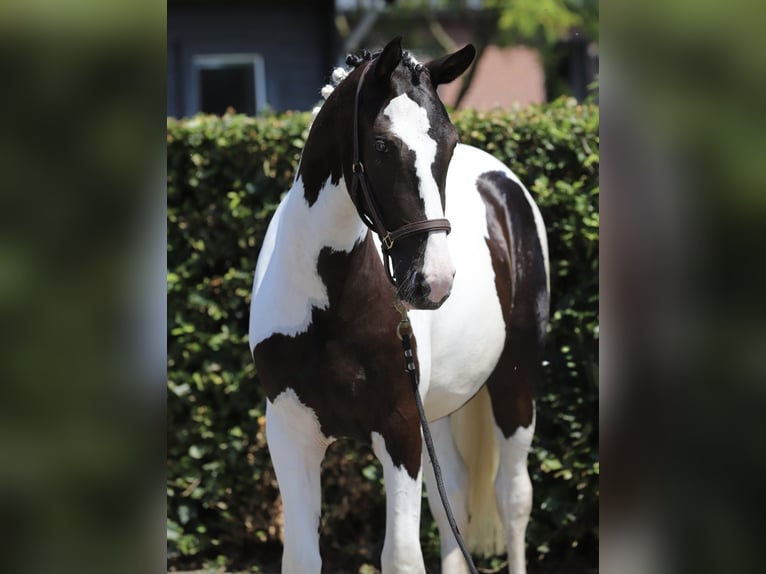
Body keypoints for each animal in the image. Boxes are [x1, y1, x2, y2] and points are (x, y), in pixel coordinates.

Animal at [249, 37, 549, 574]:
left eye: (448, 145)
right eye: (383, 145)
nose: (434, 281)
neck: (331, 303)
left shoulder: (400, 429)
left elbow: (403, 556)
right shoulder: (289, 431)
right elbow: (302, 556)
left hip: (514, 382)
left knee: (513, 498)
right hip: (440, 408)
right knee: (454, 499)